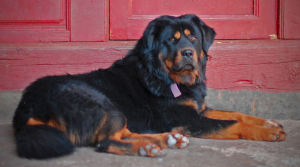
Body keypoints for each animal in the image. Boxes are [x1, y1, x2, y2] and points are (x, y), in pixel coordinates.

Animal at [12, 14, 288, 159]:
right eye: (171, 41)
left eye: (193, 37)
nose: (188, 52)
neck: (169, 78)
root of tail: (27, 105)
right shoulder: (189, 119)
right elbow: (233, 123)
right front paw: (267, 132)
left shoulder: (198, 109)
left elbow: (237, 114)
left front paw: (269, 123)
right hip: (102, 104)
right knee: (106, 141)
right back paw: (147, 147)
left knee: (122, 132)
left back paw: (164, 140)